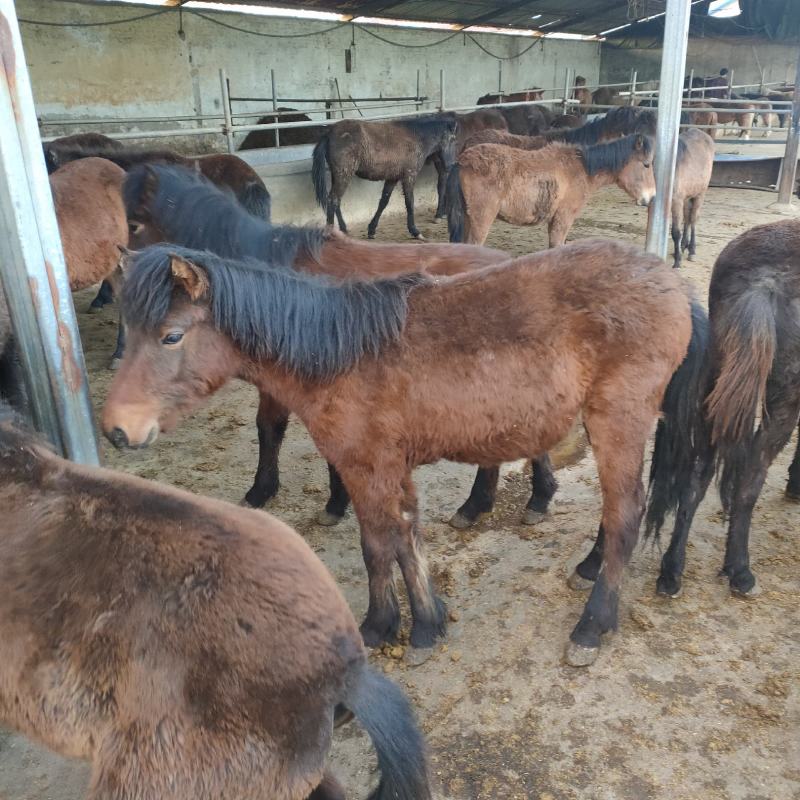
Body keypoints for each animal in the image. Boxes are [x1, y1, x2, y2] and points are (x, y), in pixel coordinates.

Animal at [102, 238, 705, 666]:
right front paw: (429, 623)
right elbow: (407, 539)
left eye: (172, 336)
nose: (115, 430)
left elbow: (377, 545)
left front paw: (380, 625)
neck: (342, 355)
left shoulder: (366, 468)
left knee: (625, 513)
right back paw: (587, 567)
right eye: (128, 331)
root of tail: (673, 285)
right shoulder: (392, 469)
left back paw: (592, 625)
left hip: (618, 420)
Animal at [312, 115, 457, 240]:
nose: (450, 166)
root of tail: (329, 133)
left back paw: (343, 230)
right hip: (343, 175)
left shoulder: (392, 178)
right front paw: (415, 231)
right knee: (333, 200)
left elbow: (383, 202)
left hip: (338, 176)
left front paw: (371, 230)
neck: (417, 137)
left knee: (336, 201)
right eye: (452, 139)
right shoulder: (409, 176)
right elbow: (410, 203)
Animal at [447, 134, 655, 247]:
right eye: (646, 164)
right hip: (482, 219)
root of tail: (462, 160)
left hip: (468, 217)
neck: (581, 169)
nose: (651, 197)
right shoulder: (564, 218)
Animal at [641, 219, 800, 602]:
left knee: (696, 477)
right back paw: (740, 571)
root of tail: (765, 281)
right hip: (783, 400)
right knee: (749, 480)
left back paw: (671, 572)